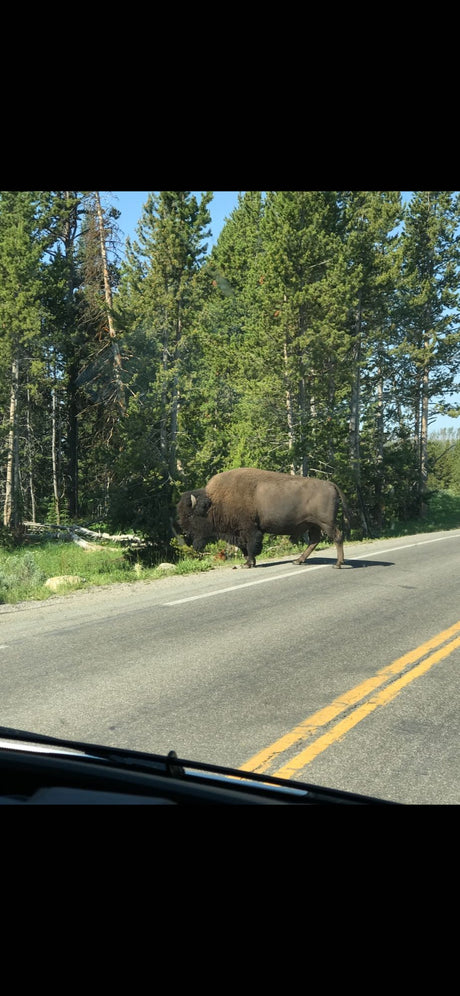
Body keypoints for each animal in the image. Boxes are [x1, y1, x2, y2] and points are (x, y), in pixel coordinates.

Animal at [176, 467, 350, 568]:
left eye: (190, 515)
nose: (186, 533)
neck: (214, 502)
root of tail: (331, 484)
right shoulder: (239, 533)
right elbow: (244, 547)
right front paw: (248, 562)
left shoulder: (250, 529)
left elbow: (251, 546)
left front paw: (248, 564)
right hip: (313, 524)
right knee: (315, 540)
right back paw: (298, 560)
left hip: (326, 523)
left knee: (337, 537)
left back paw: (337, 564)